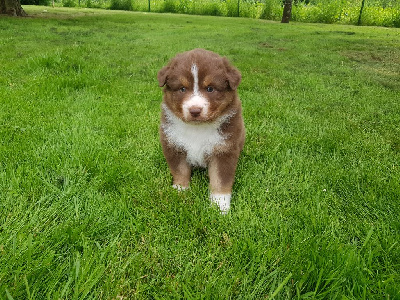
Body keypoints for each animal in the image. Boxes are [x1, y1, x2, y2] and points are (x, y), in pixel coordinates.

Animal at [158, 48, 245, 213]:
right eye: (182, 89)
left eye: (210, 88)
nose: (195, 111)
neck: (197, 129)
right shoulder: (174, 145)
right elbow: (180, 170)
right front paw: (180, 191)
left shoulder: (224, 150)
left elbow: (220, 180)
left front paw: (220, 206)